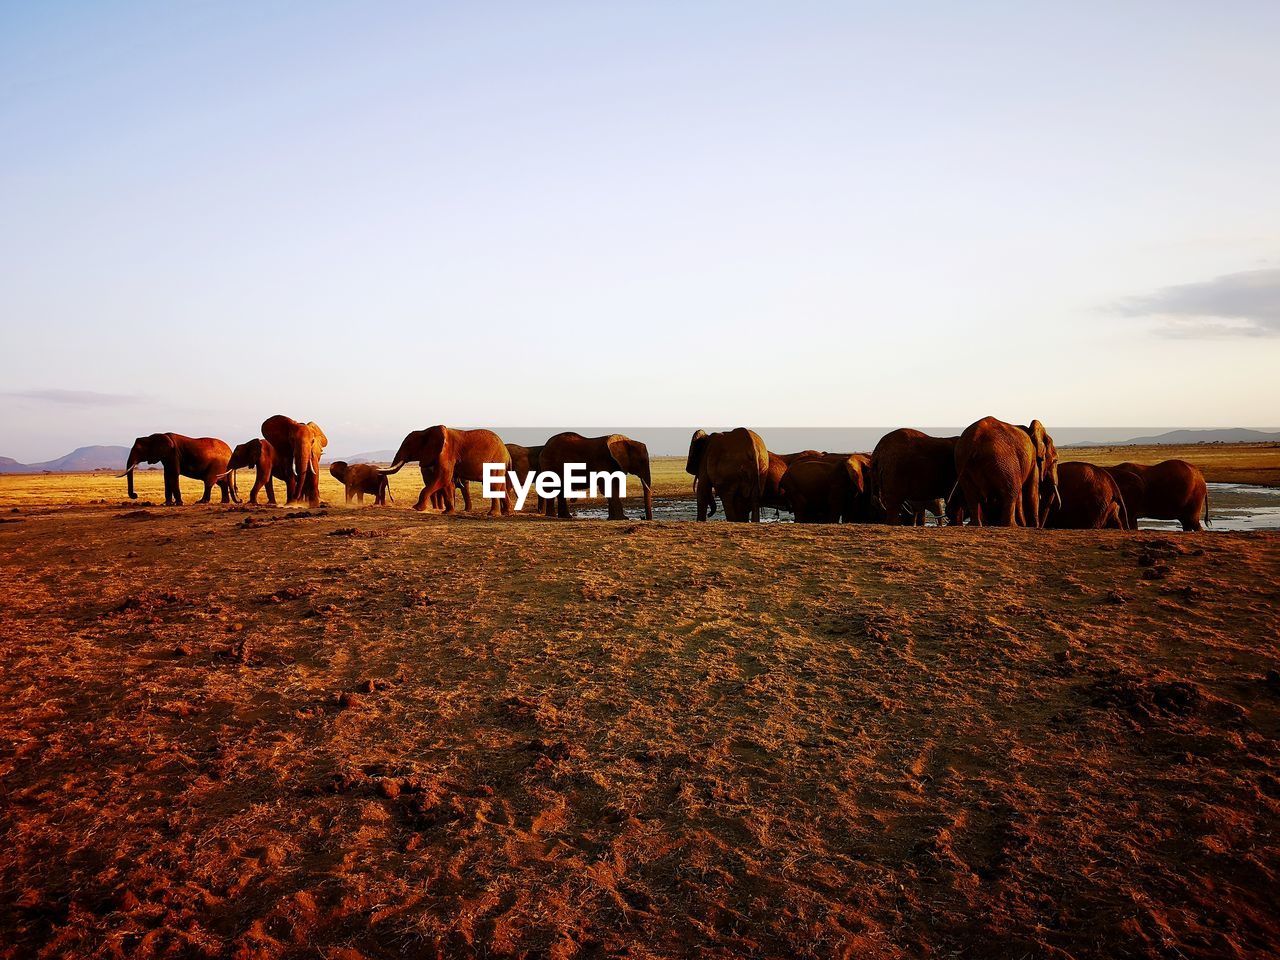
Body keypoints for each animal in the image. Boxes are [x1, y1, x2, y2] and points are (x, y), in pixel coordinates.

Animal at [376, 430, 512, 519]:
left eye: (408, 445)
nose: (377, 471)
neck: (426, 431)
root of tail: (507, 453)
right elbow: (447, 482)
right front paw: (447, 513)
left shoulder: (446, 453)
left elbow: (443, 477)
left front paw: (417, 508)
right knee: (501, 486)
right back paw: (507, 512)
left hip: (496, 461)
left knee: (494, 485)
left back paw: (492, 514)